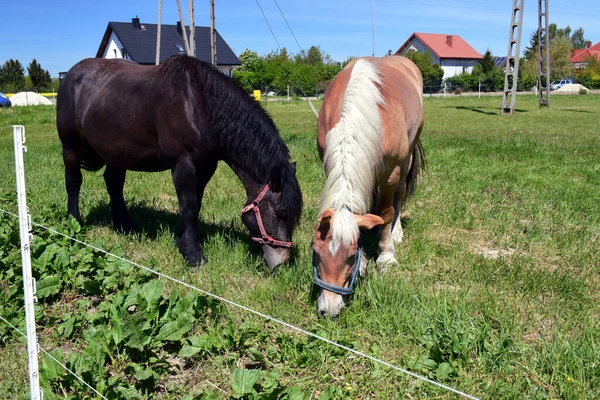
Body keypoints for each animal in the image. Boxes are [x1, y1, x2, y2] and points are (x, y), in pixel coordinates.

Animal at [56, 54, 302, 270]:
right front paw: (194, 255)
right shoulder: (183, 163)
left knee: (114, 184)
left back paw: (126, 226)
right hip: (70, 146)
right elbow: (189, 208)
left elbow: (194, 205)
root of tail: (70, 75)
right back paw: (73, 222)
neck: (200, 104)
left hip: (116, 151)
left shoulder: (206, 166)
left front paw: (183, 242)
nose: (280, 263)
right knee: (73, 181)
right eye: (280, 212)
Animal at [312, 56, 424, 318]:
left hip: (406, 159)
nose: (329, 309)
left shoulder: (390, 172)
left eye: (350, 257)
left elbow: (386, 212)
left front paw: (385, 257)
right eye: (315, 252)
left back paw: (396, 232)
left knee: (398, 198)